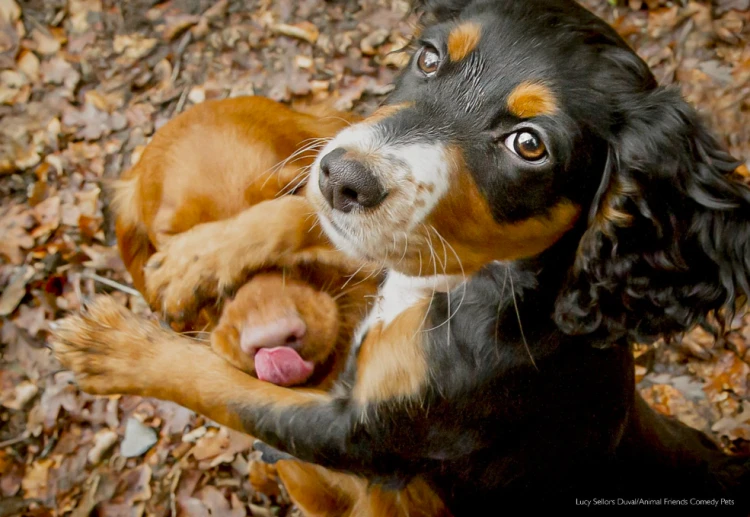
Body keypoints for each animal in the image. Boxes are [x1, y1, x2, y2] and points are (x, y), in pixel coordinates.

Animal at [54, 0, 750, 512]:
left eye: (529, 144)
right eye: (429, 57)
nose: (343, 177)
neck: (465, 283)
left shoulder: (369, 435)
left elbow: (227, 389)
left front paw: (116, 349)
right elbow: (301, 215)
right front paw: (196, 258)